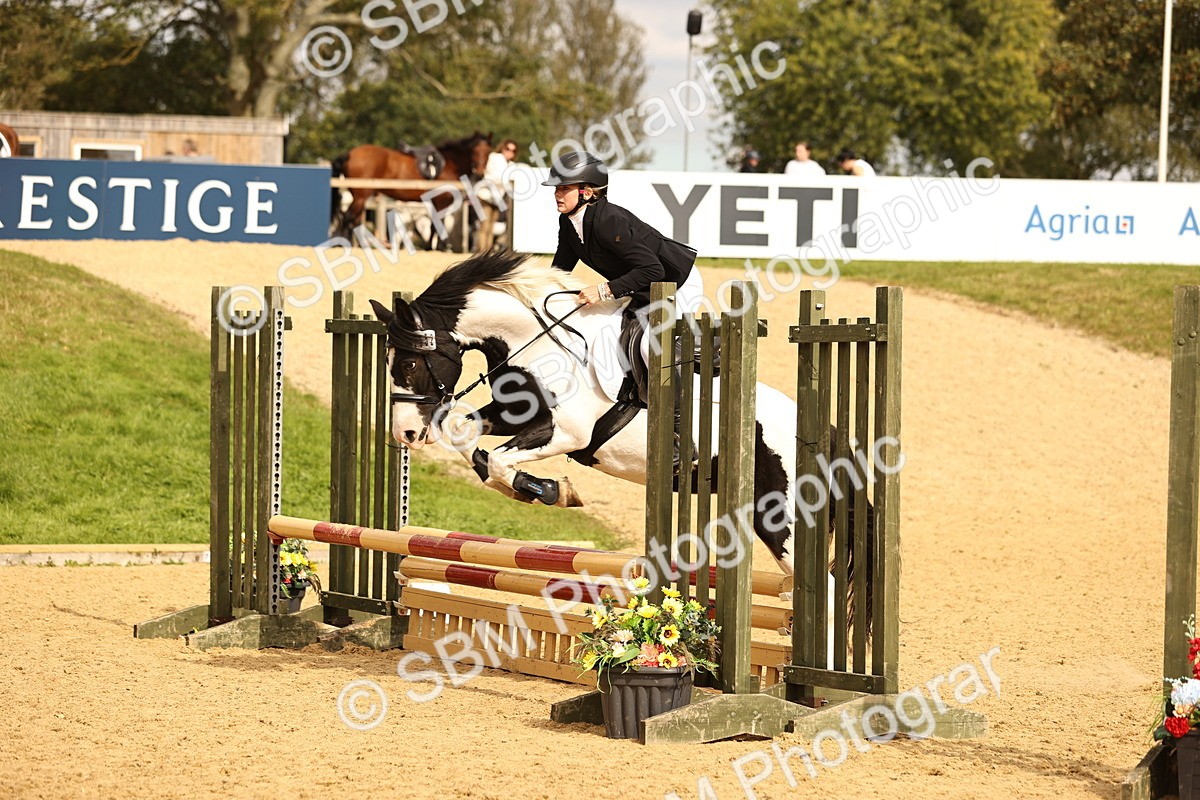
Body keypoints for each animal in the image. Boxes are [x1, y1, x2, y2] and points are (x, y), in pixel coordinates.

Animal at [330, 132, 492, 246]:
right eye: (475, 150)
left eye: (488, 151)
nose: (480, 173)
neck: (449, 164)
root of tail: (349, 153)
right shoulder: (442, 200)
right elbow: (438, 223)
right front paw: (442, 246)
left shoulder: (435, 202)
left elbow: (433, 225)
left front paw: (430, 247)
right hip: (361, 196)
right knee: (348, 217)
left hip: (360, 197)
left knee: (354, 220)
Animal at [367, 250, 872, 612]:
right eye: (388, 361)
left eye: (409, 363)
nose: (405, 435)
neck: (540, 343)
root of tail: (827, 436)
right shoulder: (518, 415)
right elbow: (468, 437)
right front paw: (537, 489)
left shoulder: (566, 433)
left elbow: (499, 459)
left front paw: (549, 490)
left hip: (780, 518)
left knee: (822, 591)